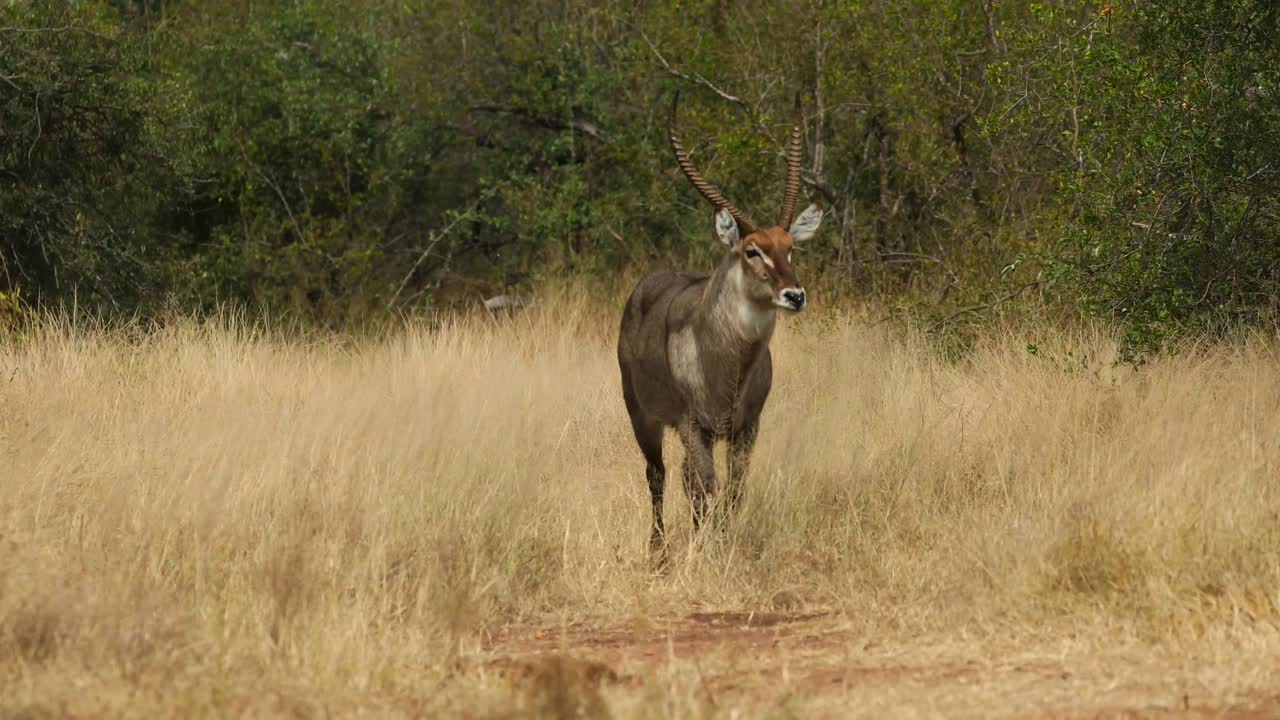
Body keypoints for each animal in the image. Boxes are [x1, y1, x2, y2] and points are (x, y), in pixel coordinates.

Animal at [617, 93, 823, 562]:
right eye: (752, 250)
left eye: (790, 247)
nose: (794, 295)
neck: (727, 363)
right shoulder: (695, 426)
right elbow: (706, 489)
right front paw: (705, 549)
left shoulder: (746, 428)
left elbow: (733, 491)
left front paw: (723, 542)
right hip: (643, 417)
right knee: (658, 475)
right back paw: (659, 551)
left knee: (685, 478)